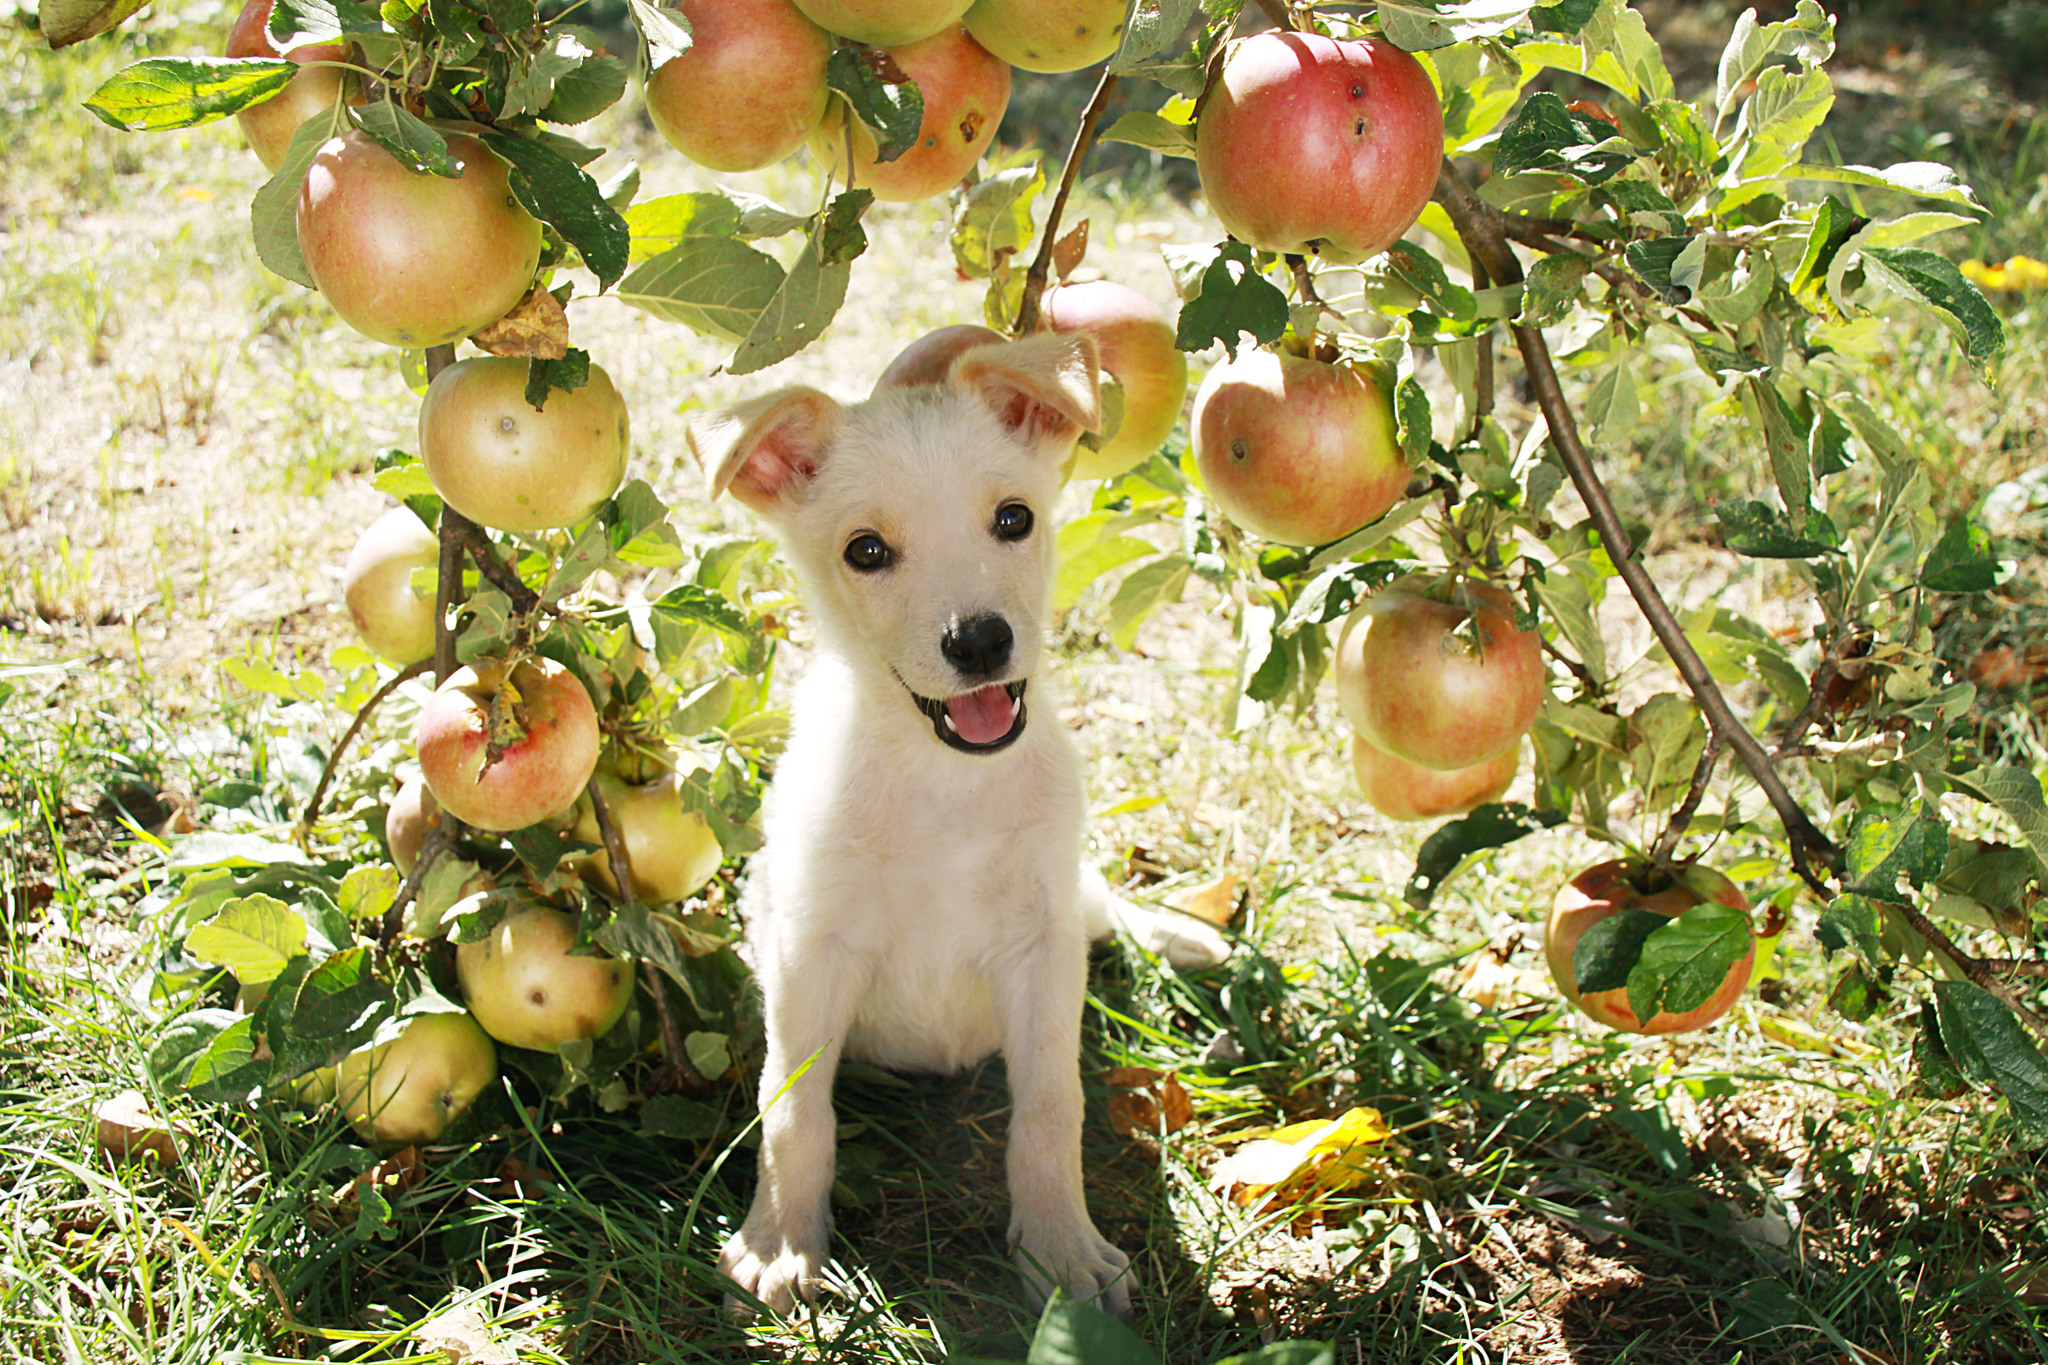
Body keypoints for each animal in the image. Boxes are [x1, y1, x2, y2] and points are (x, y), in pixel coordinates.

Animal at [688, 333, 1228, 1326]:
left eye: (1014, 519)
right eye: (866, 550)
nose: (977, 643)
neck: (944, 781)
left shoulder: (1041, 948)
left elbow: (1051, 1110)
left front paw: (1061, 1252)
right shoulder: (810, 951)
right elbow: (795, 1109)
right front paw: (782, 1240)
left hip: (1073, 899)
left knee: (1106, 904)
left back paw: (1187, 934)